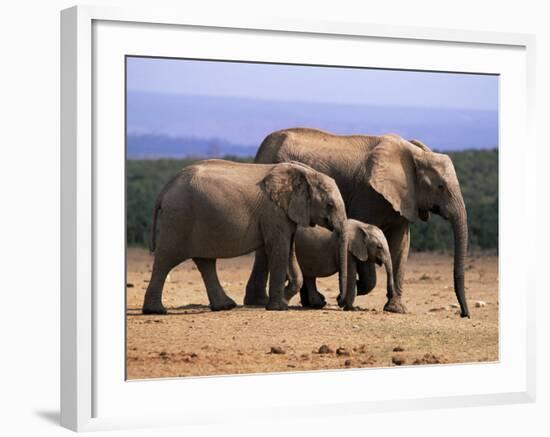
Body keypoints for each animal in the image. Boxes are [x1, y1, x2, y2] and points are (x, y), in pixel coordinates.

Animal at [143, 160, 350, 314]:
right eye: (330, 205)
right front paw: (279, 307)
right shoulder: (273, 212)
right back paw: (156, 311)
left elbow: (289, 248)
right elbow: (279, 248)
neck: (306, 173)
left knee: (205, 262)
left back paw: (225, 306)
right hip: (179, 219)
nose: (339, 301)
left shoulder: (285, 213)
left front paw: (283, 298)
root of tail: (166, 188)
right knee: (166, 259)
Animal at [244, 126, 472, 316]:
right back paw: (261, 302)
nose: (464, 314)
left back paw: (311, 303)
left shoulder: (405, 199)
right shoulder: (368, 194)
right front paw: (352, 289)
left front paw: (396, 309)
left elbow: (401, 244)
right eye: (441, 187)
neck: (414, 154)